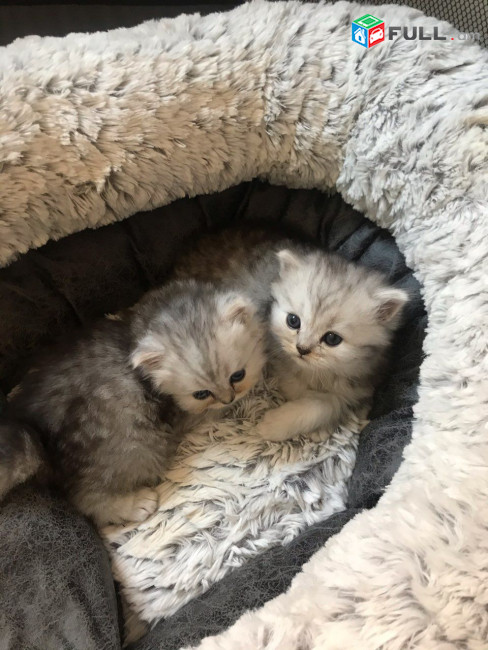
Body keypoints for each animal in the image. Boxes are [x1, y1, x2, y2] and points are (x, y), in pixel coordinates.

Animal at [0, 280, 266, 528]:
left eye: (237, 375)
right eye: (201, 394)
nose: (229, 398)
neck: (140, 324)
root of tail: (36, 431)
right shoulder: (182, 414)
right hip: (134, 444)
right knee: (85, 499)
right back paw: (135, 504)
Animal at [173, 227, 410, 440]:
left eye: (332, 339)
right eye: (293, 321)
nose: (302, 349)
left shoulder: (360, 385)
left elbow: (325, 404)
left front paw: (279, 424)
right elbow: (299, 388)